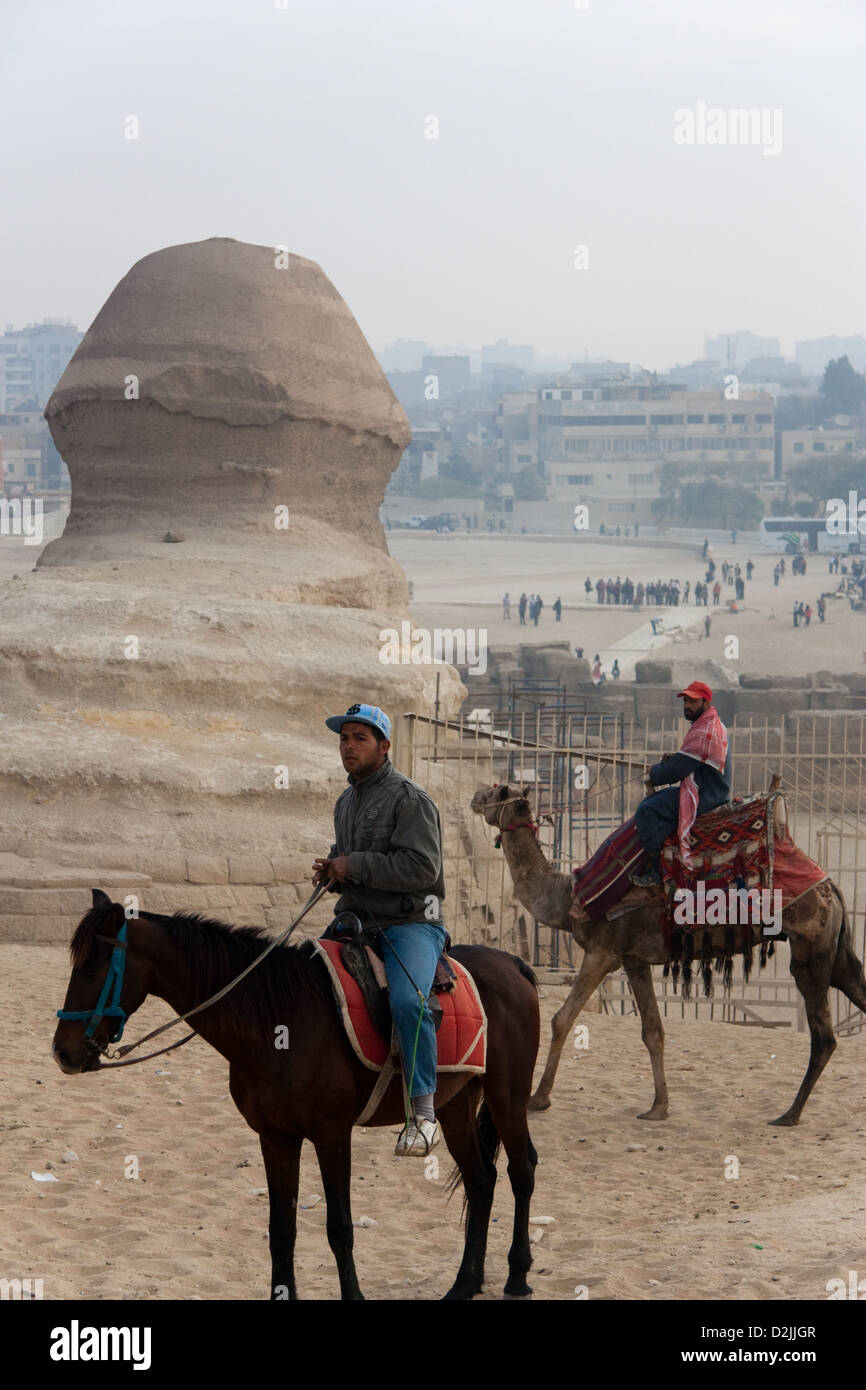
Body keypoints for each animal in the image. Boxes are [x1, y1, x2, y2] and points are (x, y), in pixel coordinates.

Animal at [50, 895, 539, 1295]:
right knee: (481, 1180)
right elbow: (281, 1231)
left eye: (91, 968)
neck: (276, 1020)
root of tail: (513, 963)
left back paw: (516, 1275)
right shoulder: (275, 1138)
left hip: (507, 1097)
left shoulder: (331, 1135)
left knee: (522, 1170)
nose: (63, 1052)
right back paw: (465, 1284)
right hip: (455, 1105)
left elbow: (340, 1228)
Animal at [475, 783, 866, 1128]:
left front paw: (538, 1099)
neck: (567, 895)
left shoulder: (603, 951)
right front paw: (658, 1107)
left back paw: (789, 1114)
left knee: (824, 1036)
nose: (475, 798)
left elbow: (562, 1019)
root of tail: (832, 887)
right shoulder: (633, 959)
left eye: (497, 791)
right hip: (836, 952)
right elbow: (653, 1031)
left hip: (811, 950)